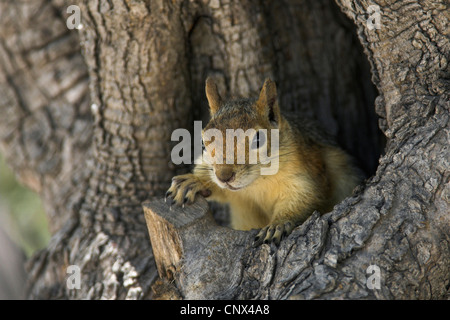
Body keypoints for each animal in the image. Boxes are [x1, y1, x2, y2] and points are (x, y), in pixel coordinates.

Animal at [165, 77, 362, 245]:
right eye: (203, 143)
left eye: (258, 140)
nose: (224, 177)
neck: (257, 183)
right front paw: (193, 181)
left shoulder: (309, 172)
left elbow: (305, 197)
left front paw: (278, 224)